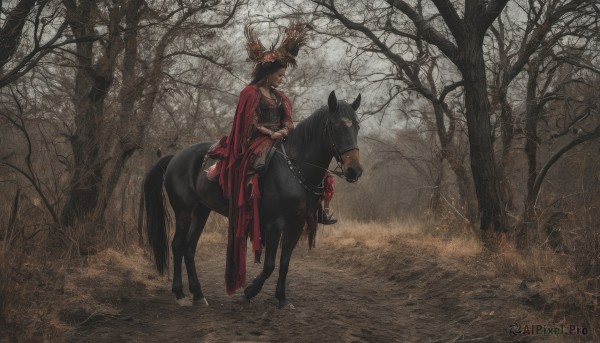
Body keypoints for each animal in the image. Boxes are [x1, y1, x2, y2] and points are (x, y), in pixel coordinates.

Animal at [143, 91, 364, 310]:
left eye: (357, 126)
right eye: (335, 127)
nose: (355, 170)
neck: (294, 168)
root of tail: (175, 157)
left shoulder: (296, 224)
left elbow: (284, 263)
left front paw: (282, 299)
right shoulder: (275, 224)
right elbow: (269, 265)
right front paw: (249, 292)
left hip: (201, 211)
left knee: (189, 249)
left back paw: (198, 294)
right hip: (184, 212)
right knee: (177, 246)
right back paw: (180, 294)